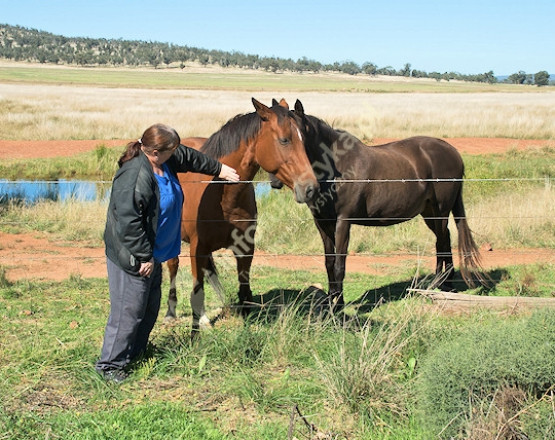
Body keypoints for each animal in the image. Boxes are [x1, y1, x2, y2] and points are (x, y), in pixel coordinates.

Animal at [165, 97, 320, 330]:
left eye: (304, 141)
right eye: (284, 140)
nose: (310, 188)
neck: (223, 193)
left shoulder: (245, 247)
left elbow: (244, 286)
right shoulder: (196, 248)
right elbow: (197, 284)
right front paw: (201, 320)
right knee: (173, 265)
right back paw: (172, 312)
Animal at [272, 99, 484, 306]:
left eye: (297, 137)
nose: (274, 180)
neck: (336, 168)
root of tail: (453, 152)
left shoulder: (343, 222)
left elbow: (340, 265)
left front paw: (338, 305)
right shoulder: (322, 223)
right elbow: (329, 263)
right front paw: (331, 300)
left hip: (440, 210)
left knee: (441, 241)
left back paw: (438, 284)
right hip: (429, 212)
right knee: (445, 237)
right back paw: (446, 285)